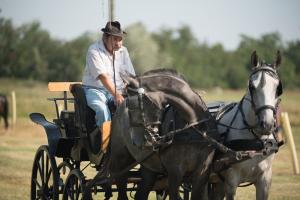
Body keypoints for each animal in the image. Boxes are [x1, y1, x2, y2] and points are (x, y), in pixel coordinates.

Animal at [106, 69, 219, 200]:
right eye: (128, 106)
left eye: (132, 105)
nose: (135, 141)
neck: (194, 125)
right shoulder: (175, 172)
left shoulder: (202, 172)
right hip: (120, 162)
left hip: (149, 167)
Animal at [210, 51, 282, 200]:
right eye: (252, 87)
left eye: (278, 88)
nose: (266, 124)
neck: (257, 141)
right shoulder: (231, 181)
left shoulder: (264, 181)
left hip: (217, 182)